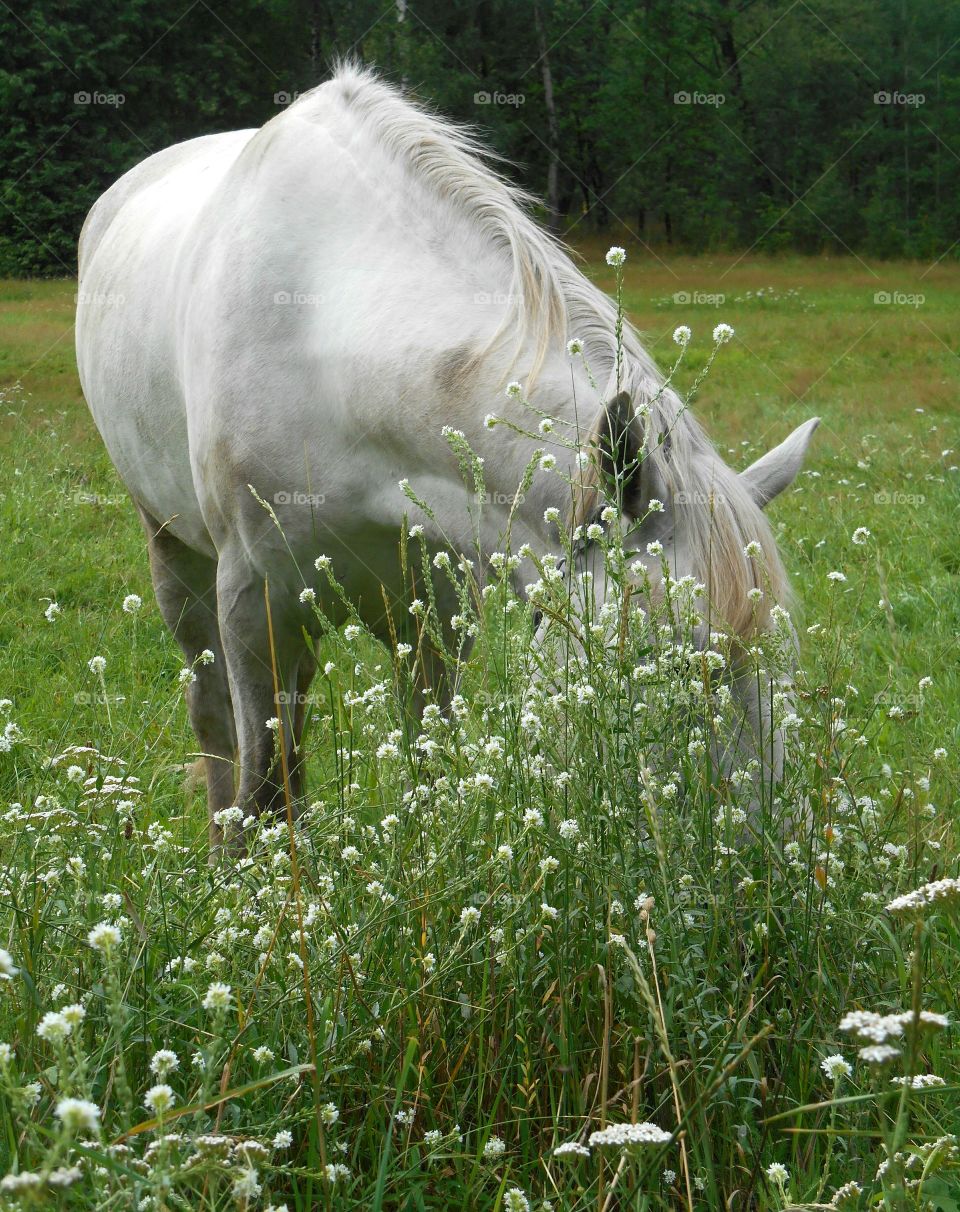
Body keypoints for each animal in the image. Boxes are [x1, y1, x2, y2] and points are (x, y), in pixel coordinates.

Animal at [75, 61, 819, 848]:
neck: (333, 346)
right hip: (175, 555)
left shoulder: (434, 604)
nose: (768, 857)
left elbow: (428, 763)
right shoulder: (254, 603)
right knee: (215, 716)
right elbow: (264, 787)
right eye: (653, 659)